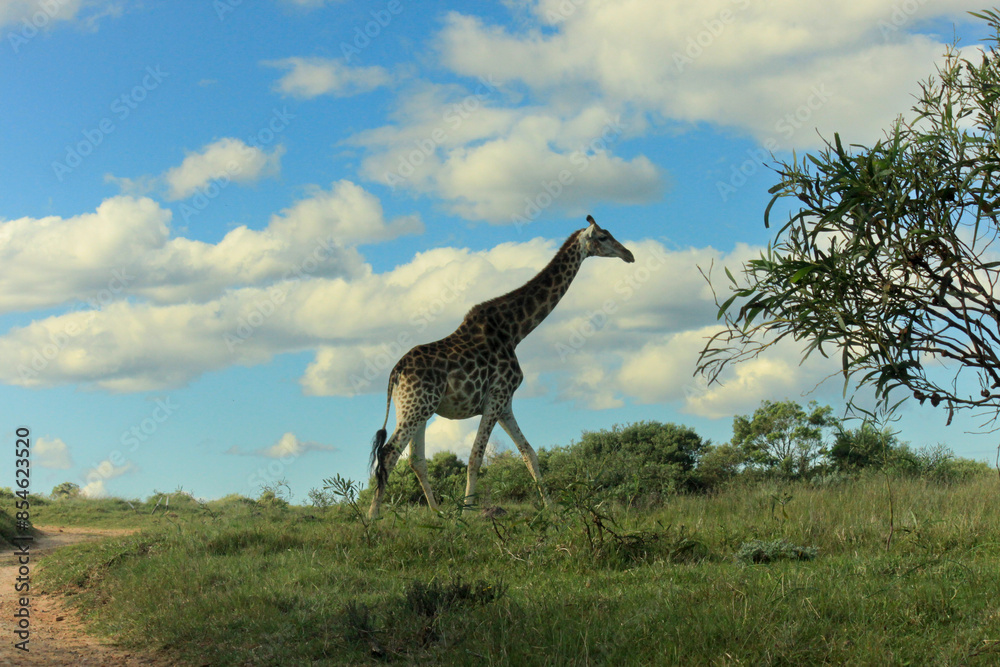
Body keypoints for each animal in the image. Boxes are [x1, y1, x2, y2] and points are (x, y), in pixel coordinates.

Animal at [367, 215, 635, 518]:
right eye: (602, 236)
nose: (629, 254)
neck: (515, 331)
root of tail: (395, 371)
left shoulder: (505, 403)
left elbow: (529, 453)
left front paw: (551, 507)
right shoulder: (496, 397)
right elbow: (476, 456)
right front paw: (467, 513)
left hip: (418, 409)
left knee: (415, 459)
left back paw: (437, 513)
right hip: (417, 406)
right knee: (389, 452)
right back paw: (373, 515)